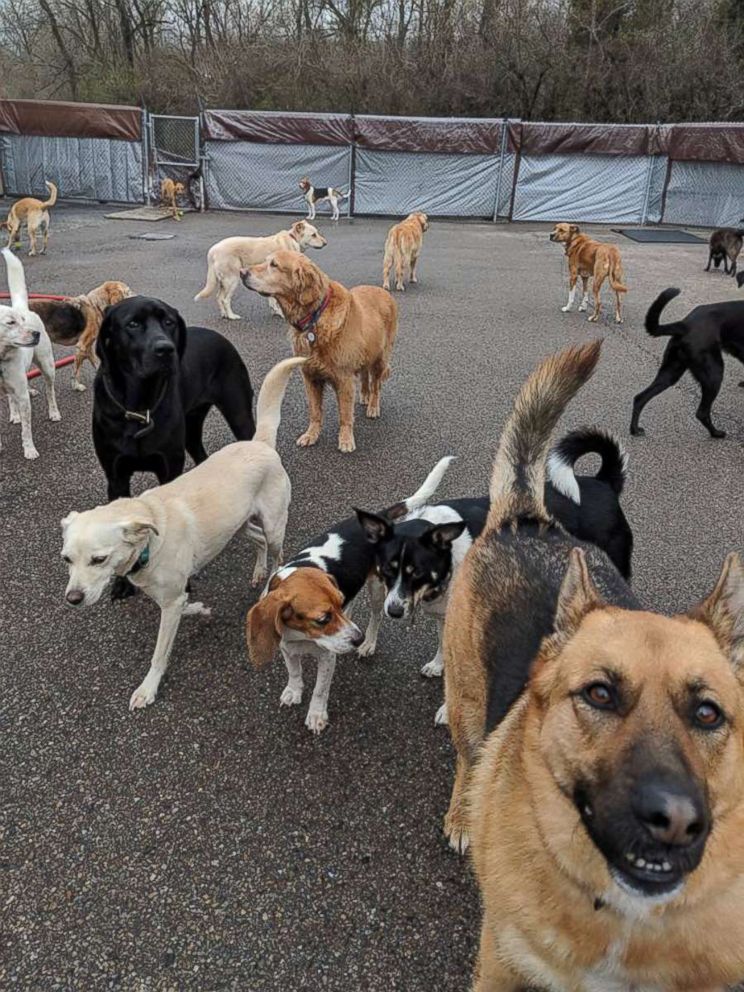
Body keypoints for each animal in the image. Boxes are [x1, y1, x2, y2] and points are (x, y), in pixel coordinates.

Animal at [0, 246, 59, 460]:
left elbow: (26, 429)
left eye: (22, 321)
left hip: (47, 366)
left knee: (50, 391)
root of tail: (22, 306)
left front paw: (29, 449)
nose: (36, 334)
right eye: (11, 322)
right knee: (10, 398)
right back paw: (14, 415)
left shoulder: (23, 396)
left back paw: (54, 412)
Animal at [60, 356, 306, 712]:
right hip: (239, 525)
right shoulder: (169, 596)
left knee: (278, 554)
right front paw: (199, 609)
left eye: (99, 559)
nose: (73, 599)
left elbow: (160, 652)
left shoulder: (171, 599)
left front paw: (148, 688)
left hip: (273, 526)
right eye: (66, 559)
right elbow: (183, 606)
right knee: (258, 543)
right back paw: (258, 571)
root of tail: (259, 442)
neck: (150, 535)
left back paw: (267, 584)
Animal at [193, 221, 326, 322]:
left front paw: (276, 312)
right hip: (232, 280)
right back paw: (231, 316)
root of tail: (212, 250)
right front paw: (280, 313)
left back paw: (224, 315)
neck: (293, 239)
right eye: (314, 235)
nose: (325, 243)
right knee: (225, 300)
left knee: (219, 297)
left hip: (224, 282)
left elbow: (272, 300)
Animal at [243, 250, 396, 452]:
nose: (241, 272)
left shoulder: (344, 379)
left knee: (376, 384)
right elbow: (315, 412)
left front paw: (346, 439)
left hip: (380, 358)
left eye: (274, 265)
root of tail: (384, 291)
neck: (315, 318)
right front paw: (311, 435)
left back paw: (372, 406)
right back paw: (364, 396)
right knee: (365, 376)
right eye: (266, 261)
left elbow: (345, 414)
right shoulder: (310, 377)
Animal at [444, 342, 744, 992]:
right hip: (466, 707)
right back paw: (461, 813)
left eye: (709, 713)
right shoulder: (501, 965)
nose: (673, 821)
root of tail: (527, 517)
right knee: (465, 758)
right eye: (599, 695)